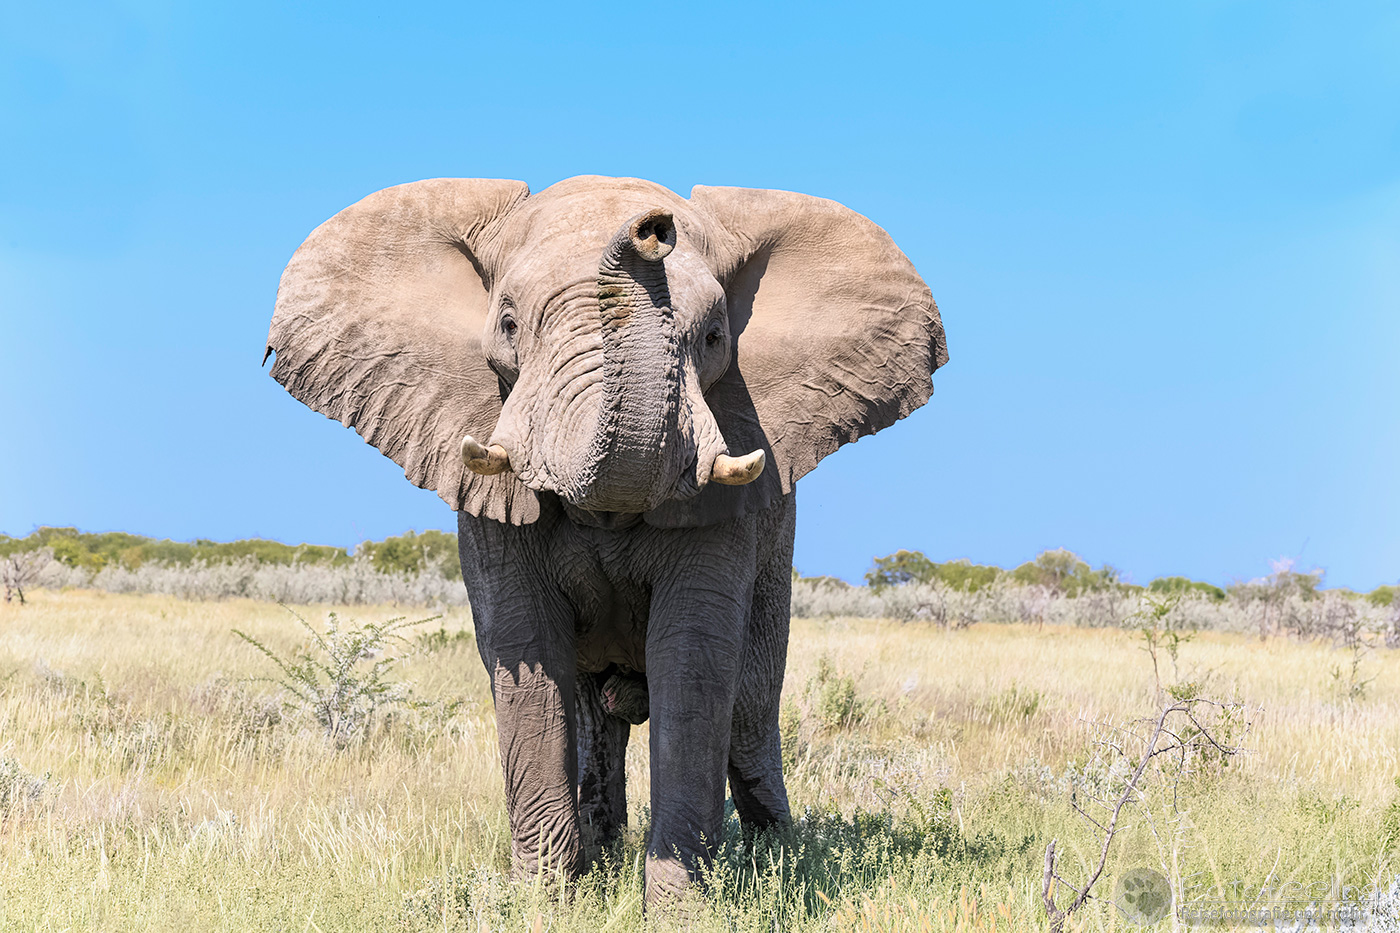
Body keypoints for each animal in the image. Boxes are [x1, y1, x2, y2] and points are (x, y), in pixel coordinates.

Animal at [264, 175, 947, 903]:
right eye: (508, 325)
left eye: (714, 337)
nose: (651, 227)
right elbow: (527, 650)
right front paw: (544, 904)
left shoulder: (726, 500)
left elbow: (693, 659)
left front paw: (681, 908)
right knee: (596, 718)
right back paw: (603, 861)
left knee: (749, 718)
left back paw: (779, 867)